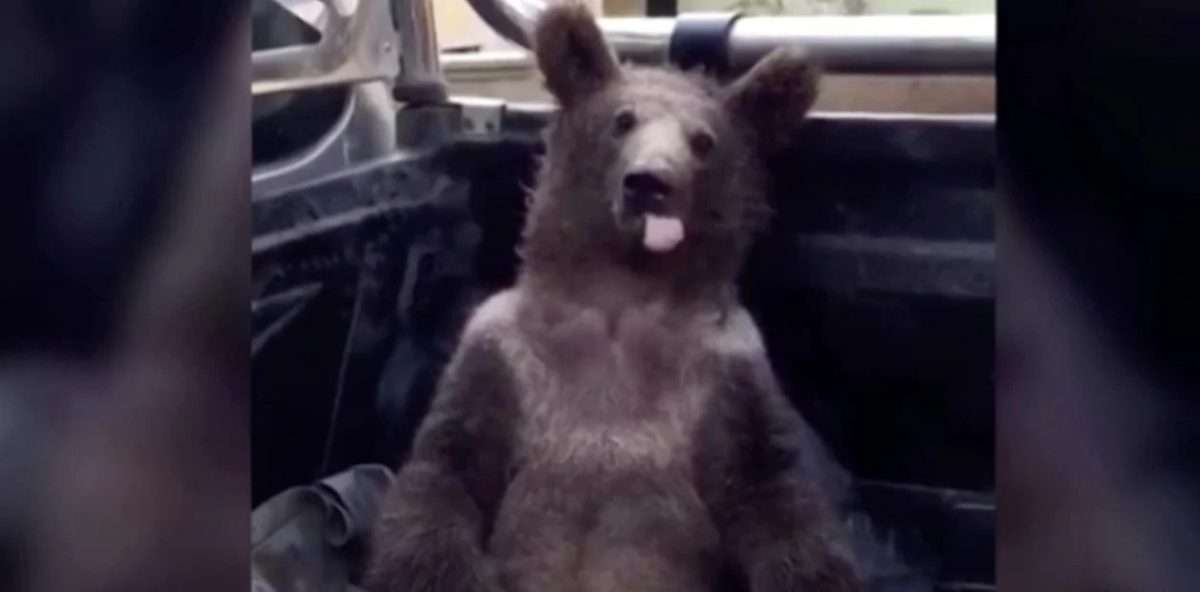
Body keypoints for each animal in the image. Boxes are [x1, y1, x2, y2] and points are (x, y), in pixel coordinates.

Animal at [365, 3, 862, 592]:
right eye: (622, 120)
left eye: (703, 140)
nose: (648, 182)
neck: (620, 297)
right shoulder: (502, 354)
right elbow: (445, 473)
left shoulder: (726, 374)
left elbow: (772, 493)